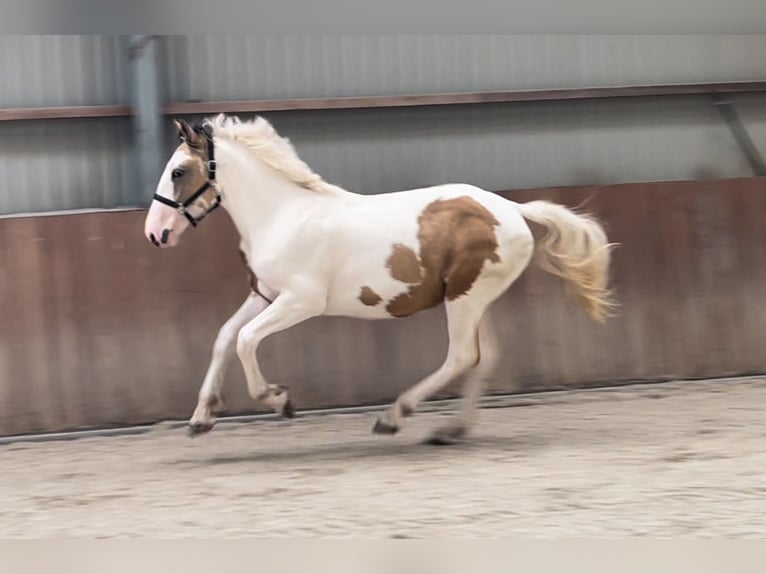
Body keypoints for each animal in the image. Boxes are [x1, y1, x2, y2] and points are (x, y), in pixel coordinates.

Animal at [146, 112, 616, 446]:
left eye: (178, 172)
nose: (155, 233)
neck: (283, 216)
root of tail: (513, 210)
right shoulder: (265, 294)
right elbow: (225, 337)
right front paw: (201, 418)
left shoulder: (301, 301)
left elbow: (245, 340)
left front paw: (280, 400)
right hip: (476, 300)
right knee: (485, 357)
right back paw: (449, 431)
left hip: (466, 298)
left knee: (462, 356)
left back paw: (393, 417)